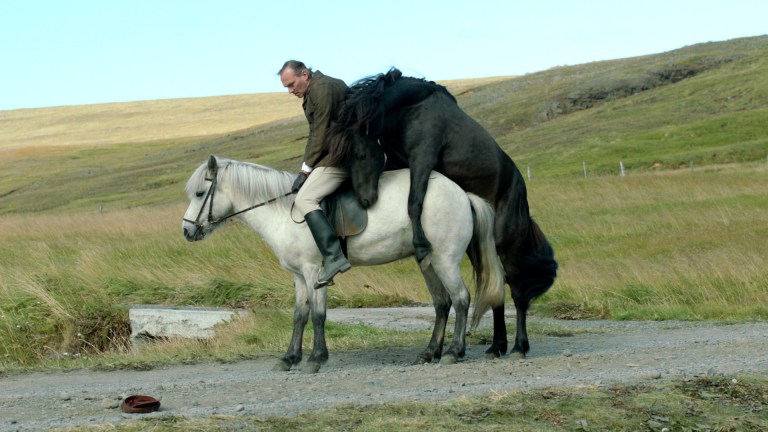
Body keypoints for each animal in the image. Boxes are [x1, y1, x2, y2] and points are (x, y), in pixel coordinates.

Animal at [180, 157, 504, 372]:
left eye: (200, 193)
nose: (186, 231)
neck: (284, 212)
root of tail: (462, 194)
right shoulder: (299, 276)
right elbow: (299, 315)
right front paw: (289, 358)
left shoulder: (315, 272)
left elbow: (318, 315)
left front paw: (315, 359)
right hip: (427, 262)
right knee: (442, 304)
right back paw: (429, 353)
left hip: (445, 259)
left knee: (460, 300)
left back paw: (453, 352)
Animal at [330, 67, 560, 358]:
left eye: (360, 155)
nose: (365, 199)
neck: (412, 107)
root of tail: (520, 191)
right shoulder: (398, 161)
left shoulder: (422, 159)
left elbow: (414, 202)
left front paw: (420, 244)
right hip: (480, 247)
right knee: (495, 287)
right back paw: (497, 345)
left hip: (507, 246)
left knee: (516, 292)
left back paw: (519, 346)